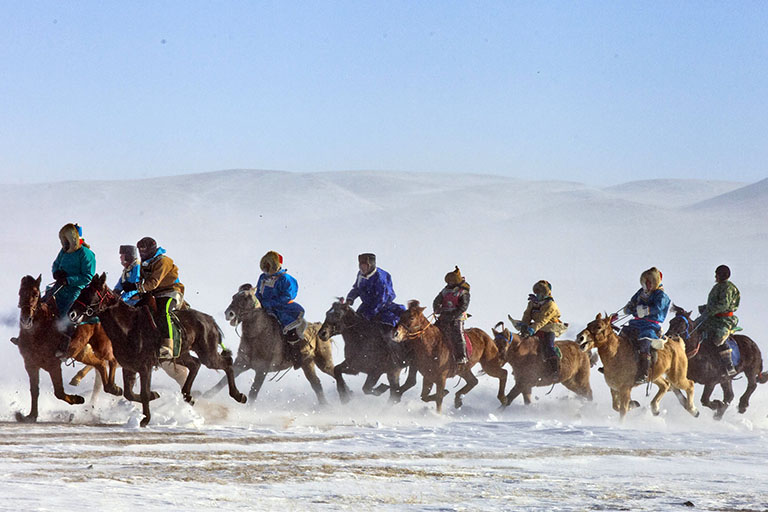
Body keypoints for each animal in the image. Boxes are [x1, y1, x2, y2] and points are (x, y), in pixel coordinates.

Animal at [12, 274, 121, 422]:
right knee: (100, 364)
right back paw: (108, 387)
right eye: (20, 293)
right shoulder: (30, 364)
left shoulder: (53, 365)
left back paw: (114, 388)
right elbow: (34, 391)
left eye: (35, 294)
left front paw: (78, 399)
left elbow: (59, 392)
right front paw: (31, 415)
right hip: (81, 353)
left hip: (102, 345)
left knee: (112, 360)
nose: (25, 319)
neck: (42, 331)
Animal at [70, 274, 246, 426]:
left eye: (90, 293)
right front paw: (154, 396)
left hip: (207, 354)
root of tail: (209, 319)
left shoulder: (145, 367)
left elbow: (144, 393)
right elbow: (129, 393)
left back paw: (239, 396)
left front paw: (145, 419)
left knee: (226, 363)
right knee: (195, 364)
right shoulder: (129, 366)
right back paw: (188, 396)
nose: (71, 313)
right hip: (180, 355)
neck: (128, 327)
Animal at [204, 284, 336, 404]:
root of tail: (319, 328)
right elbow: (222, 382)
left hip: (323, 363)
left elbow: (253, 393)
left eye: (247, 297)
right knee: (316, 383)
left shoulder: (262, 370)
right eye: (234, 296)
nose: (229, 313)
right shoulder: (241, 364)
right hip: (307, 363)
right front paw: (205, 396)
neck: (258, 335)